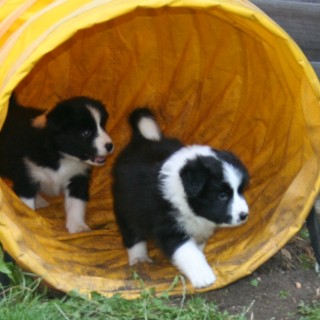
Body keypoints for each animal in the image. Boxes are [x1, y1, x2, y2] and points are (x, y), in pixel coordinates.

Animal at [0, 94, 114, 232]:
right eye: (85, 132)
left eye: (102, 126)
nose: (110, 145)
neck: (61, 156)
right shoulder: (27, 176)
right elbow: (26, 204)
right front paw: (30, 221)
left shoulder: (78, 178)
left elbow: (76, 204)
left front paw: (78, 227)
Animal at [112, 109, 250, 288]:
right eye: (222, 195)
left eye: (240, 191)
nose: (244, 215)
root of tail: (141, 140)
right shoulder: (169, 227)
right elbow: (188, 251)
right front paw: (204, 276)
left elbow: (198, 246)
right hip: (126, 205)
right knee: (132, 232)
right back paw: (139, 258)